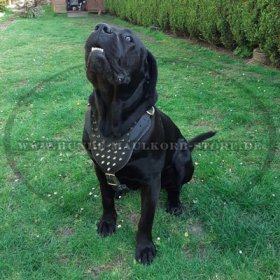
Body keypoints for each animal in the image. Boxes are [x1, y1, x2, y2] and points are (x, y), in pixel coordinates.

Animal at [82, 23, 215, 264]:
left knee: (176, 188)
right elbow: (106, 199)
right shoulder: (99, 169)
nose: (101, 26)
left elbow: (145, 219)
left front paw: (144, 247)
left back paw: (174, 204)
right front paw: (108, 222)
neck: (111, 119)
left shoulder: (151, 181)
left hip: (181, 156)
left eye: (128, 38)